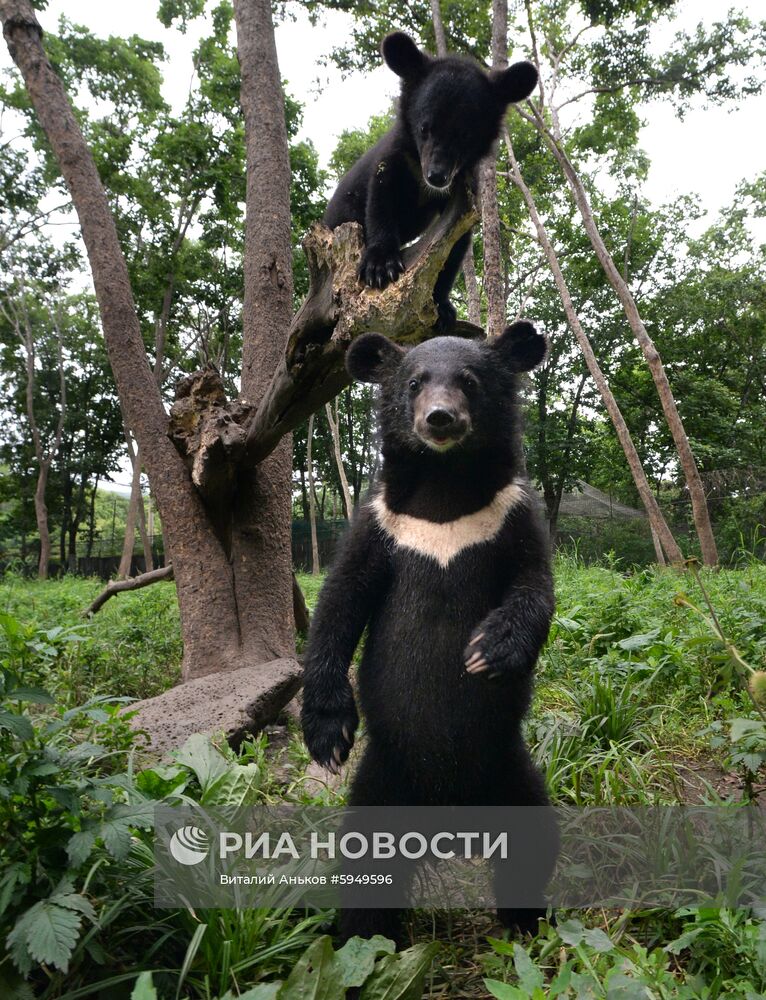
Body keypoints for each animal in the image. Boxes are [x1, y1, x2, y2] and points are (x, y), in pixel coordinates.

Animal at [302, 322, 560, 944]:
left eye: (468, 381)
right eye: (415, 383)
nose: (440, 419)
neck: (446, 488)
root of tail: (451, 814)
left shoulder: (514, 513)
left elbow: (535, 585)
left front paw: (487, 652)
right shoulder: (377, 523)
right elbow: (340, 603)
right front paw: (327, 737)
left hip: (508, 769)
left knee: (534, 843)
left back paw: (526, 922)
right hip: (384, 778)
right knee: (365, 860)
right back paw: (368, 939)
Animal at [324, 33, 540, 330]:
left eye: (465, 136)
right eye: (424, 128)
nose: (437, 176)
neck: (418, 168)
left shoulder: (465, 192)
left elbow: (455, 245)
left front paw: (441, 306)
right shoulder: (395, 158)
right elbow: (380, 199)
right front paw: (380, 268)